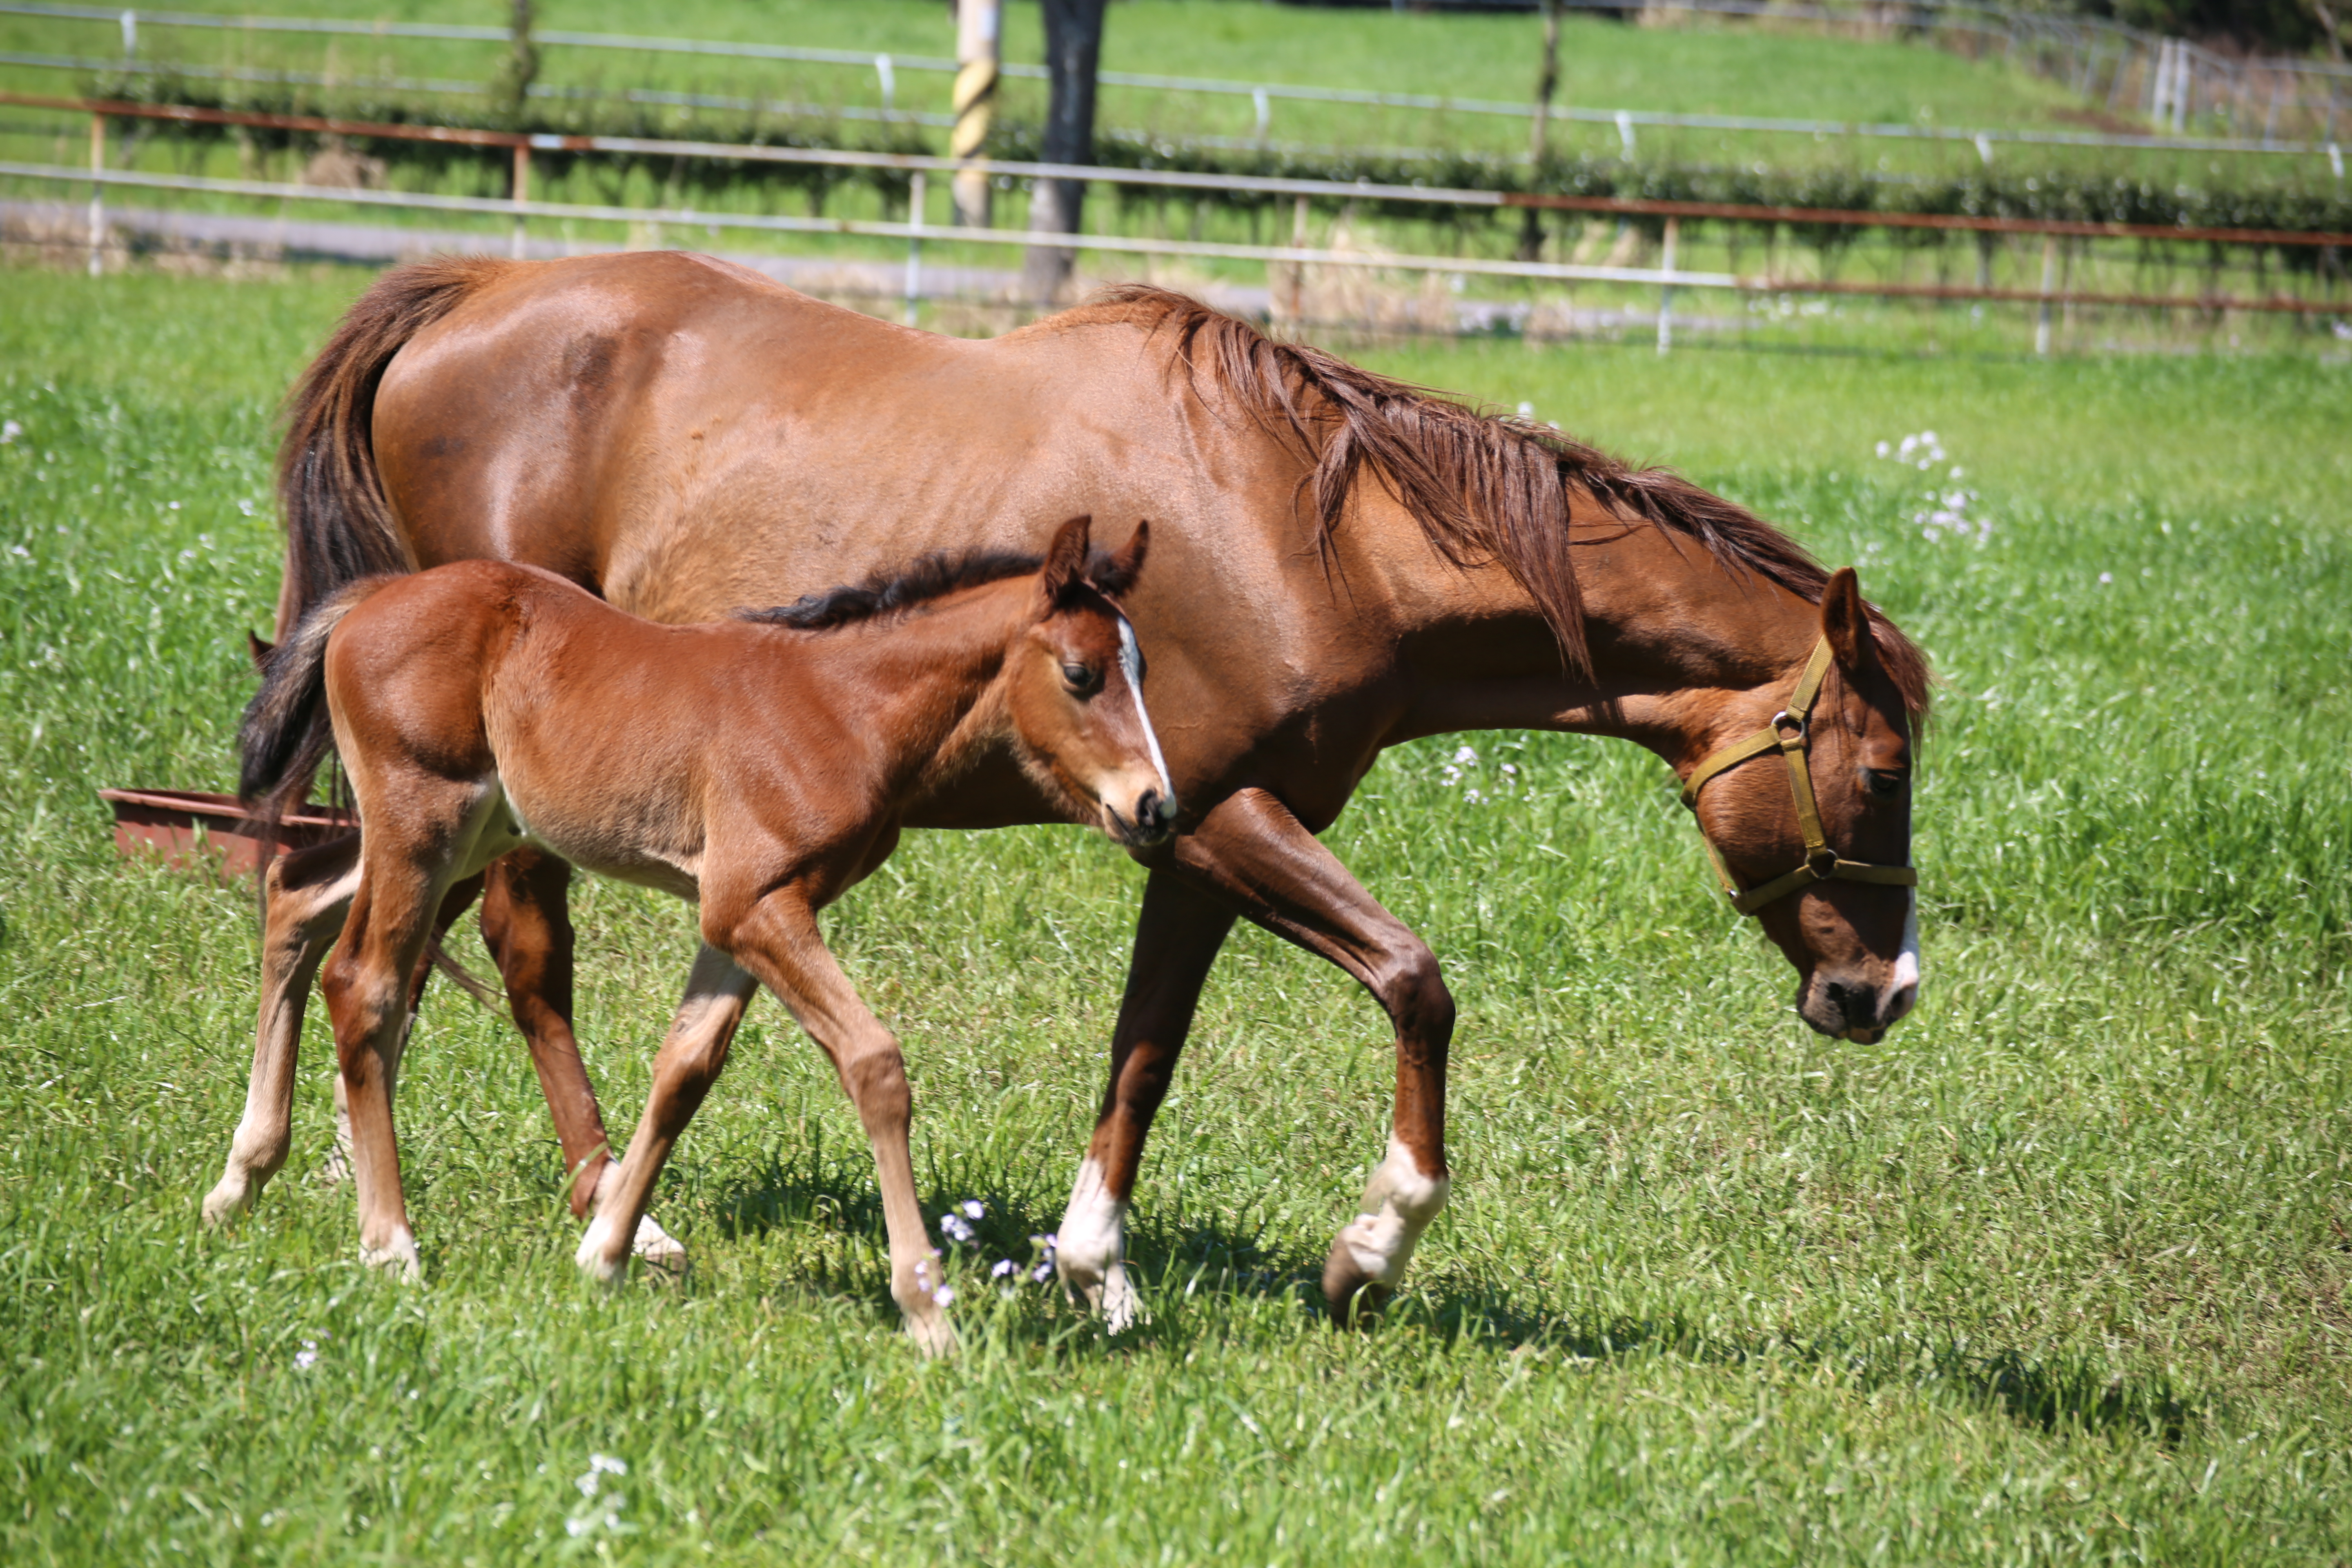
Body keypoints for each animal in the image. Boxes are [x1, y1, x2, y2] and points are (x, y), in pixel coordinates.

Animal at [229, 517, 1166, 1354]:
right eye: (1081, 673)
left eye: (1144, 666)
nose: (1156, 806)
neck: (843, 707)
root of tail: (376, 596)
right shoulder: (758, 906)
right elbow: (874, 1064)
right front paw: (927, 1311)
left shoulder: (739, 915)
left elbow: (684, 1067)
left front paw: (606, 1255)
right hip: (425, 820)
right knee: (363, 981)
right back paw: (389, 1245)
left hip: (475, 831)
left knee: (294, 891)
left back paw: (241, 1178)